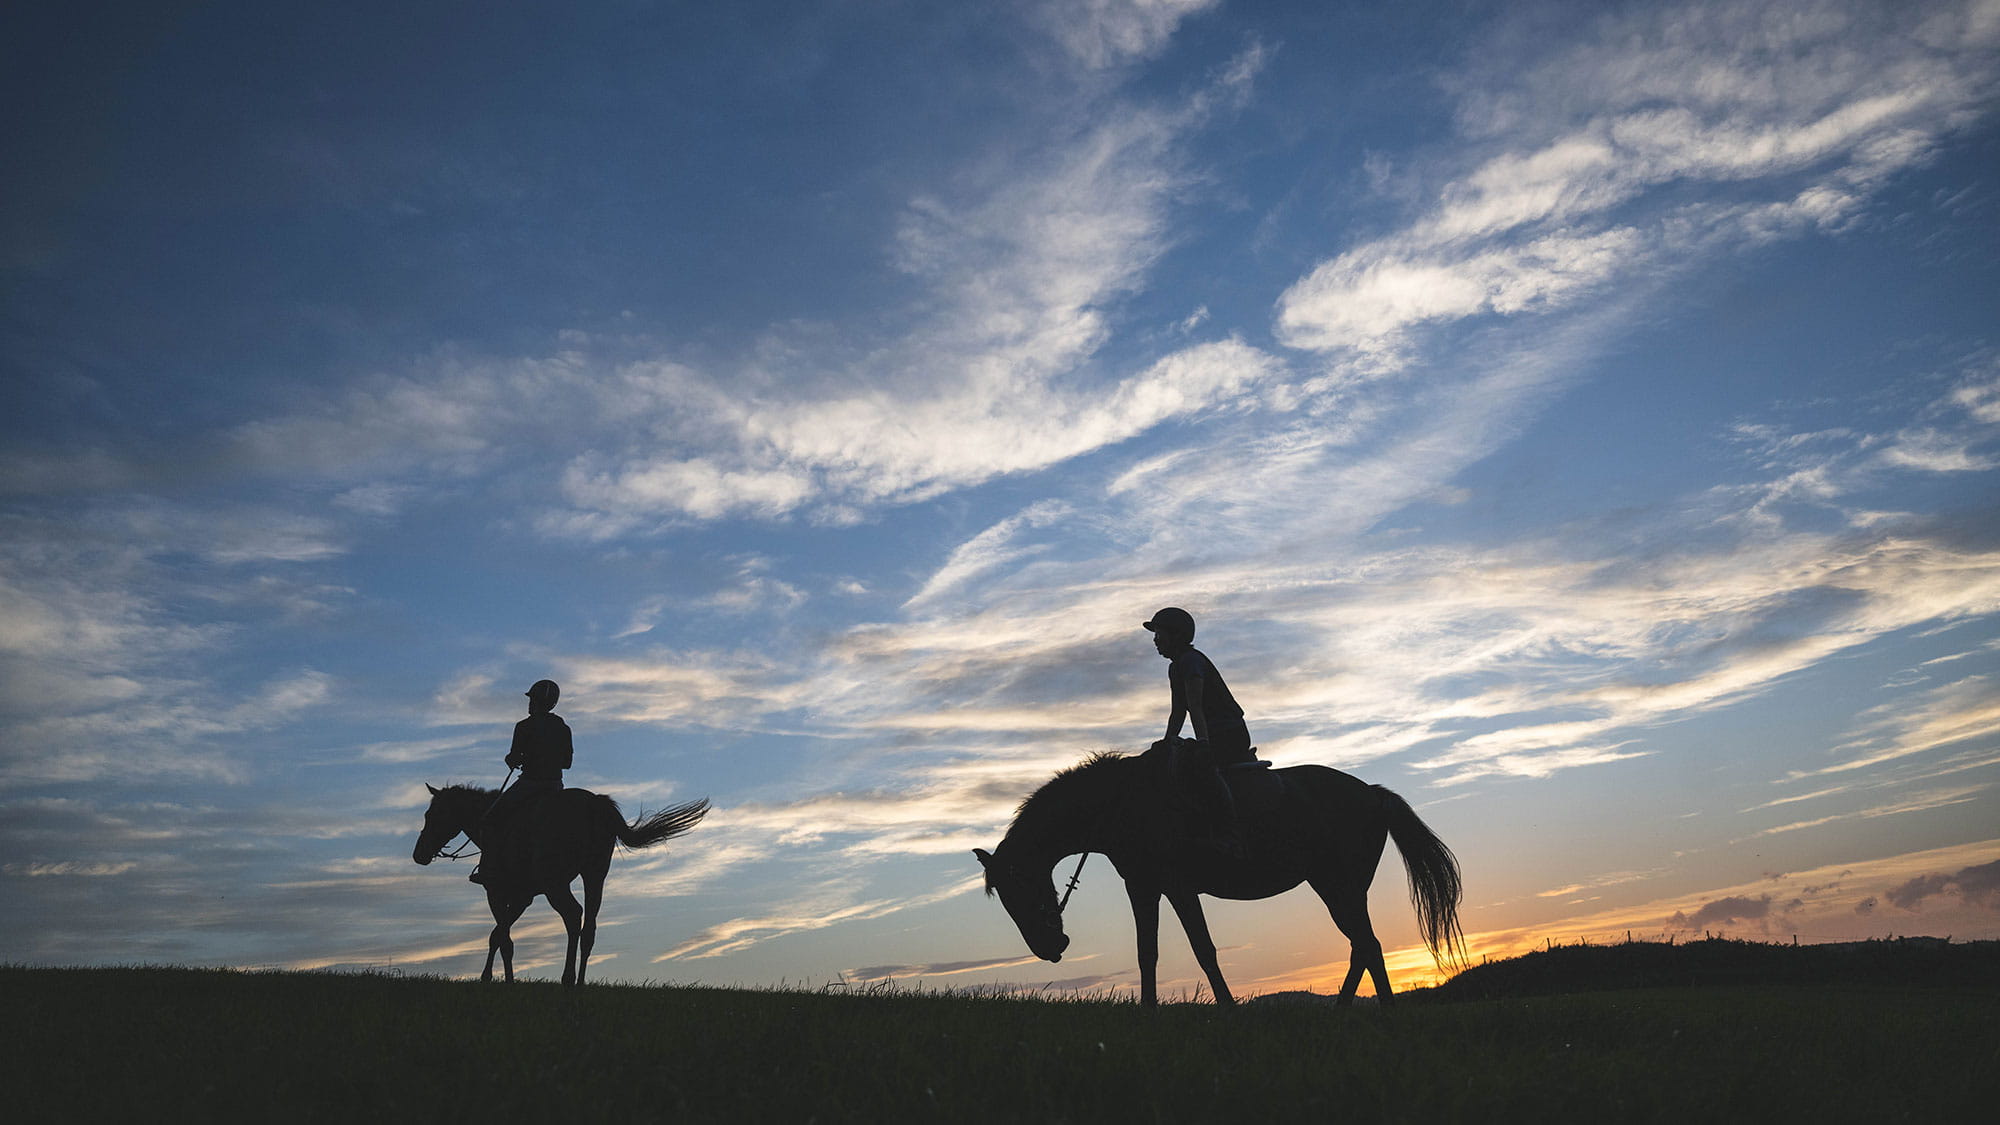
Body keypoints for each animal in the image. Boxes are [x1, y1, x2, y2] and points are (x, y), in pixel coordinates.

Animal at [414, 780, 712, 980]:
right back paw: (579, 982)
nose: (419, 854)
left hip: (555, 884)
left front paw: (497, 979)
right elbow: (498, 936)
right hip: (594, 875)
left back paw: (567, 978)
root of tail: (594, 804)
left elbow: (502, 938)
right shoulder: (522, 897)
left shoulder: (496, 891)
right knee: (589, 926)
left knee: (572, 914)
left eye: (430, 815)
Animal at [976, 740, 1464, 1000]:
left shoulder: (1177, 886)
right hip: (1337, 886)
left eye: (1021, 886)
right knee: (1362, 946)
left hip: (1338, 884)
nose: (1049, 948)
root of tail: (1372, 792)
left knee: (1368, 945)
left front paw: (1228, 1010)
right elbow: (1147, 953)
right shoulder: (1143, 887)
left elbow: (1204, 951)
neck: (1118, 804)